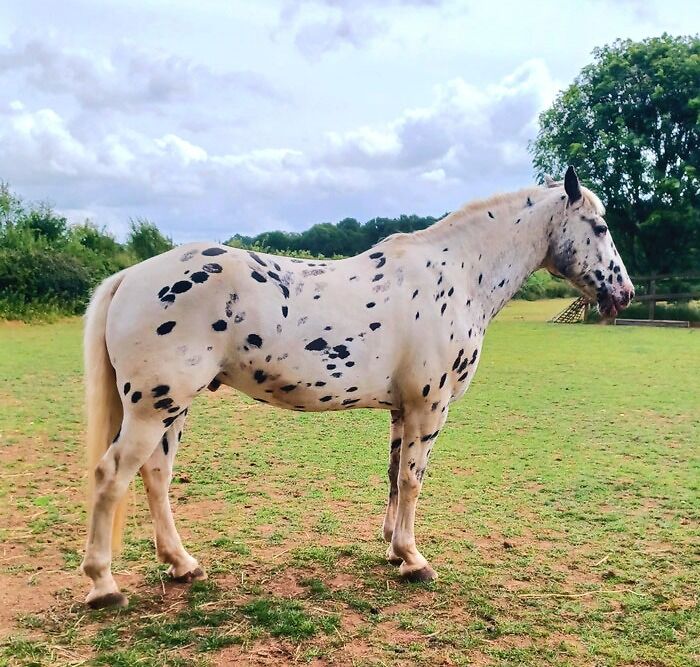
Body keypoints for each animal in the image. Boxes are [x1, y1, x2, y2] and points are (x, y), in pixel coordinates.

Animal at [80, 166, 634, 608]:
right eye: (601, 226)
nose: (624, 292)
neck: (457, 275)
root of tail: (130, 277)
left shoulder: (403, 410)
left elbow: (394, 477)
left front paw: (393, 549)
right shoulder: (430, 408)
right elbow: (413, 480)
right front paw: (414, 560)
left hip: (172, 410)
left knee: (155, 477)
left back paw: (182, 564)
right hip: (154, 408)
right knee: (111, 476)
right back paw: (104, 586)